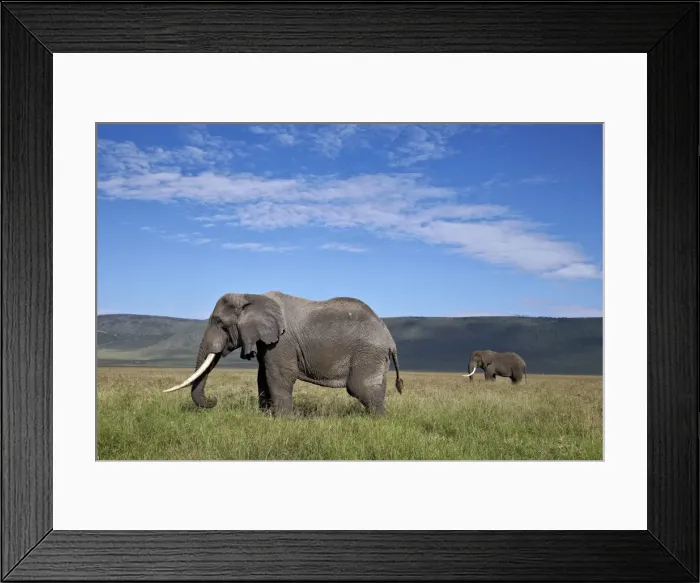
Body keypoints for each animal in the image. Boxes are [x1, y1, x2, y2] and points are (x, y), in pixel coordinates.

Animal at [164, 291, 403, 415]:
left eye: (220, 324)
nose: (213, 400)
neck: (251, 296)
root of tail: (390, 340)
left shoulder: (282, 342)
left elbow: (278, 376)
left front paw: (283, 421)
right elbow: (262, 377)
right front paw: (265, 417)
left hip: (368, 352)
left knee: (360, 388)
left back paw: (378, 422)